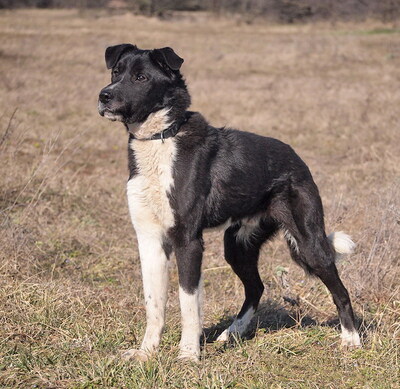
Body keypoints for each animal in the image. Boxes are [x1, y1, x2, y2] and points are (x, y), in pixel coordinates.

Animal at [98, 43, 360, 360]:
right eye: (116, 72)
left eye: (141, 77)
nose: (104, 95)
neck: (161, 138)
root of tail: (296, 158)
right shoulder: (149, 239)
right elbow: (154, 304)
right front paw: (146, 353)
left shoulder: (188, 241)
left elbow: (188, 302)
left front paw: (188, 355)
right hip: (238, 245)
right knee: (256, 288)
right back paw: (231, 333)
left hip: (309, 242)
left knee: (340, 290)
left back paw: (351, 340)